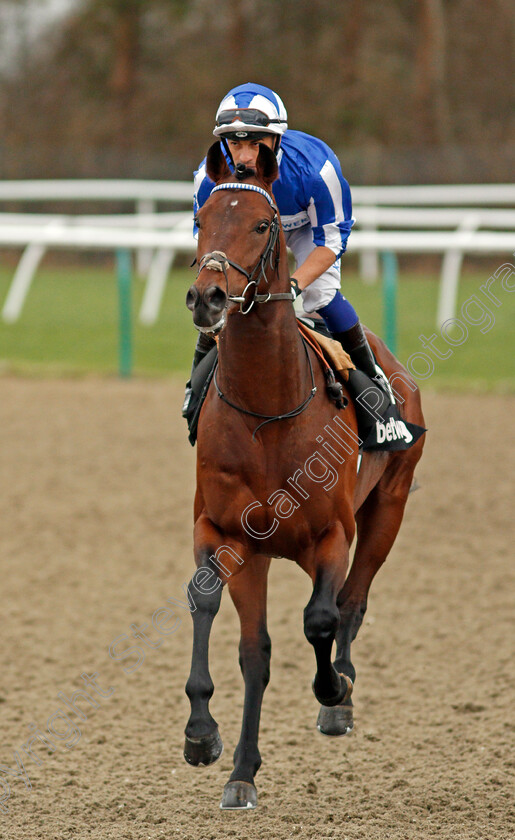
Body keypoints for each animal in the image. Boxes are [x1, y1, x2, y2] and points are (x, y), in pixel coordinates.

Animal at [183, 141, 426, 812]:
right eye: (201, 220)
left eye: (262, 225)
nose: (208, 298)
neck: (268, 411)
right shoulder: (225, 532)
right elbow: (225, 622)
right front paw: (208, 739)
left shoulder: (331, 536)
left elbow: (321, 617)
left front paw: (333, 690)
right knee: (259, 646)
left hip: (389, 508)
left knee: (353, 602)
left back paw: (340, 694)